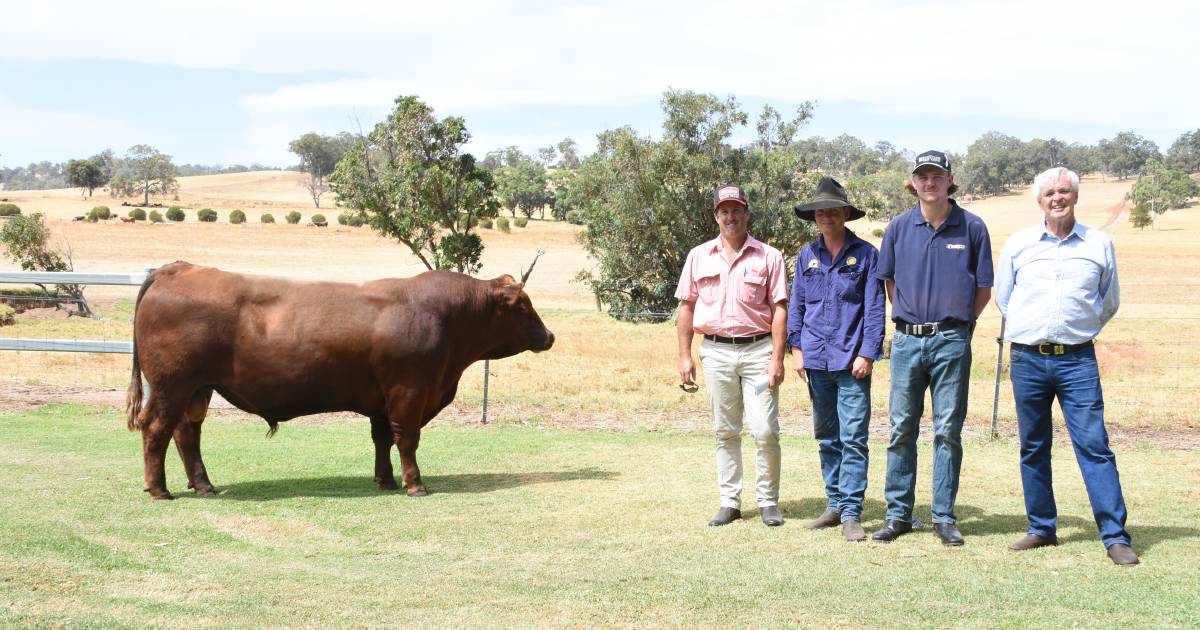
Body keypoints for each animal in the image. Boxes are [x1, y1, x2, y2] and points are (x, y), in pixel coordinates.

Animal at [124, 261, 554, 501]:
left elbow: (383, 439)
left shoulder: (383, 399)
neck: (444, 316)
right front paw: (414, 484)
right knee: (156, 429)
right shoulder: (409, 392)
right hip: (172, 386)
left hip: (197, 388)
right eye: (523, 305)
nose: (549, 336)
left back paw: (203, 485)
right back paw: (159, 489)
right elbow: (407, 438)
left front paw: (385, 480)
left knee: (187, 433)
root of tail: (177, 268)